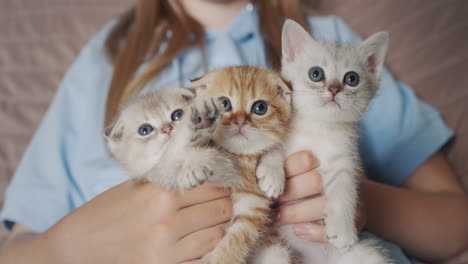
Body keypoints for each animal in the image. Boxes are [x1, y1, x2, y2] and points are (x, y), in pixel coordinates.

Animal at [192, 65, 294, 264]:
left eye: (260, 108)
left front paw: (272, 173)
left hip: (277, 253)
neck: (238, 157)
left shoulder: (252, 205)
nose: (240, 121)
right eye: (224, 104)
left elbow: (237, 240)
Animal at [278, 19, 392, 264]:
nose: (333, 89)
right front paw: (270, 176)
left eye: (352, 79)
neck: (318, 128)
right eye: (316, 74)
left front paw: (343, 230)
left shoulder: (344, 160)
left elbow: (344, 192)